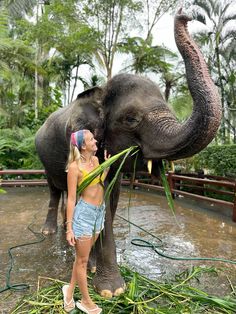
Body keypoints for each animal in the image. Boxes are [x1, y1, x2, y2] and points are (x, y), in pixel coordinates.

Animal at [34, 9, 221, 296]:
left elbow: (109, 202)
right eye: (131, 119)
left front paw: (95, 269)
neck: (101, 91)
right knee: (54, 190)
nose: (188, 14)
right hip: (43, 161)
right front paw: (112, 290)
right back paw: (48, 233)